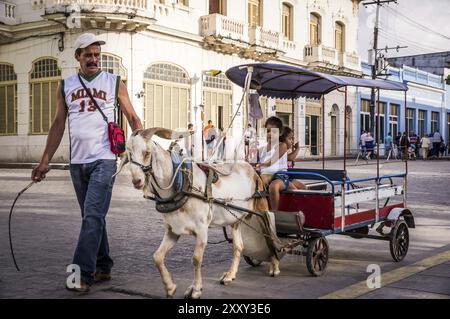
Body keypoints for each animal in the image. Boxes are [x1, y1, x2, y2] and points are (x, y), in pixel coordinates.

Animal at [120, 128, 282, 300]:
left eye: (147, 152)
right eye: (129, 153)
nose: (137, 181)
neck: (181, 185)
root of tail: (252, 169)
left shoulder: (202, 230)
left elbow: (196, 259)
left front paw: (196, 289)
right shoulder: (172, 230)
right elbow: (157, 257)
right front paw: (170, 287)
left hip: (260, 211)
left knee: (269, 237)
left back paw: (275, 265)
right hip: (236, 219)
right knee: (239, 246)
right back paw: (230, 275)